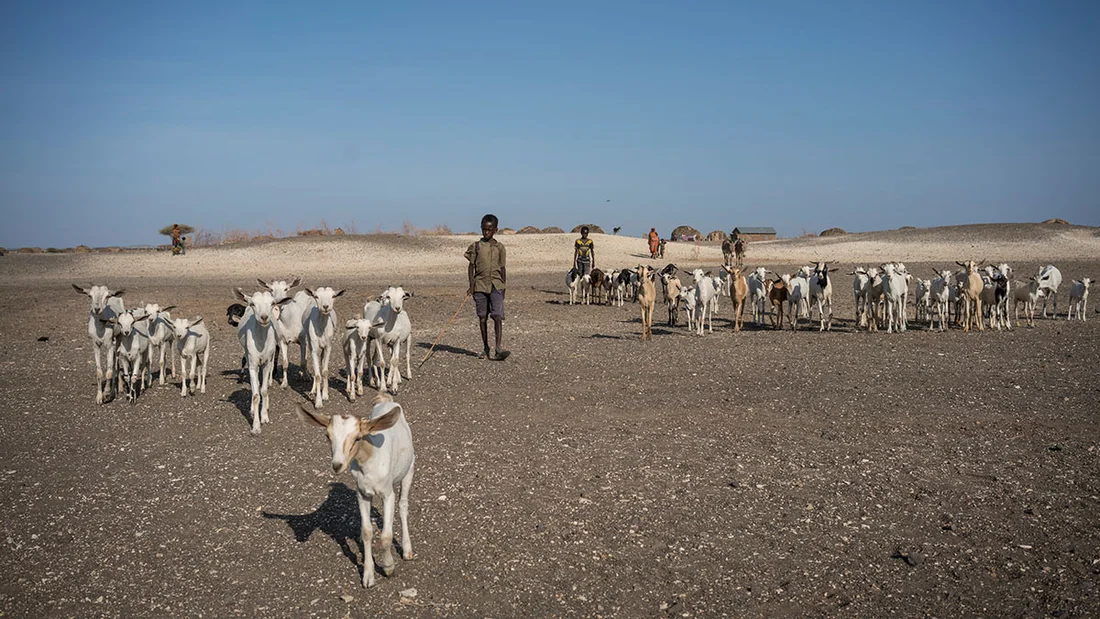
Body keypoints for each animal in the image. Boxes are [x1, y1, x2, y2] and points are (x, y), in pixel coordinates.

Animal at [297, 395, 415, 589]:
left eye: (358, 438)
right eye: (327, 436)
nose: (337, 465)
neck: (370, 461)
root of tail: (386, 400)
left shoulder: (387, 494)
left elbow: (386, 536)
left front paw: (388, 567)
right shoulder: (362, 494)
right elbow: (367, 531)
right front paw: (368, 576)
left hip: (409, 469)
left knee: (403, 505)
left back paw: (407, 550)